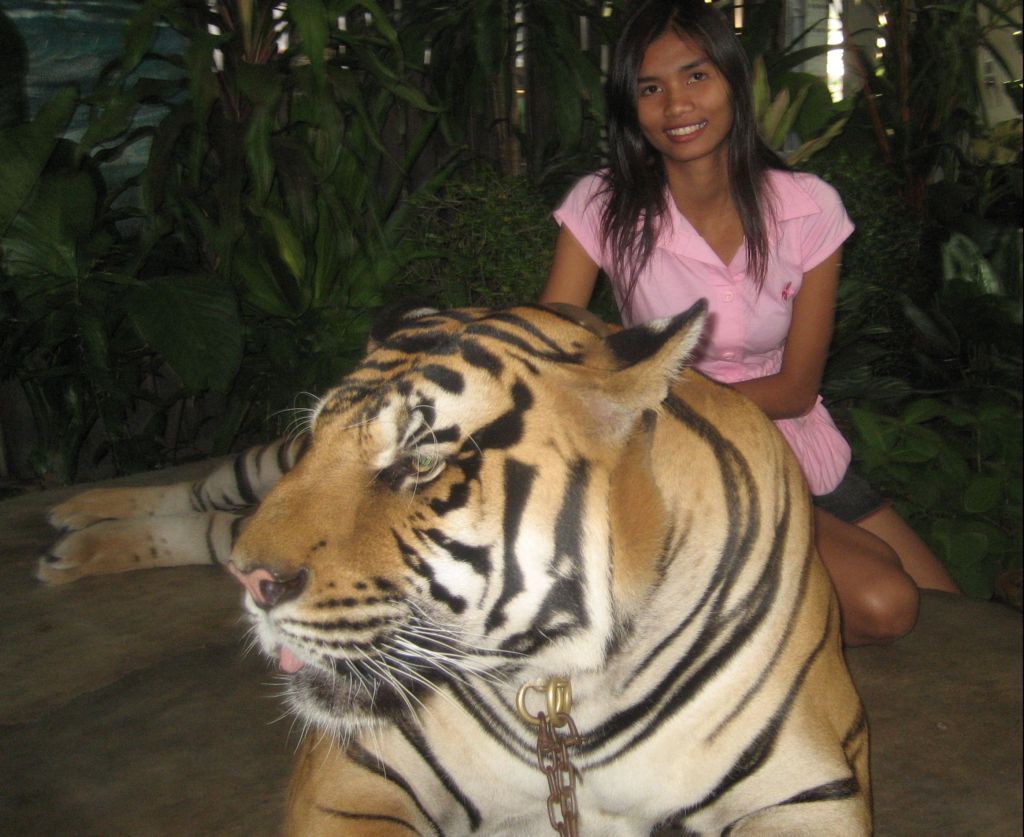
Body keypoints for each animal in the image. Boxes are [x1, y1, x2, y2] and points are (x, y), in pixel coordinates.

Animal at [41, 301, 872, 835]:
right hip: (262, 471)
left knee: (217, 523)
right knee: (208, 493)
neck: (567, 682)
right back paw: (72, 516)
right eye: (321, 442)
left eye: (420, 461)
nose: (254, 585)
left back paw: (70, 544)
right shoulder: (355, 774)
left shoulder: (811, 784)